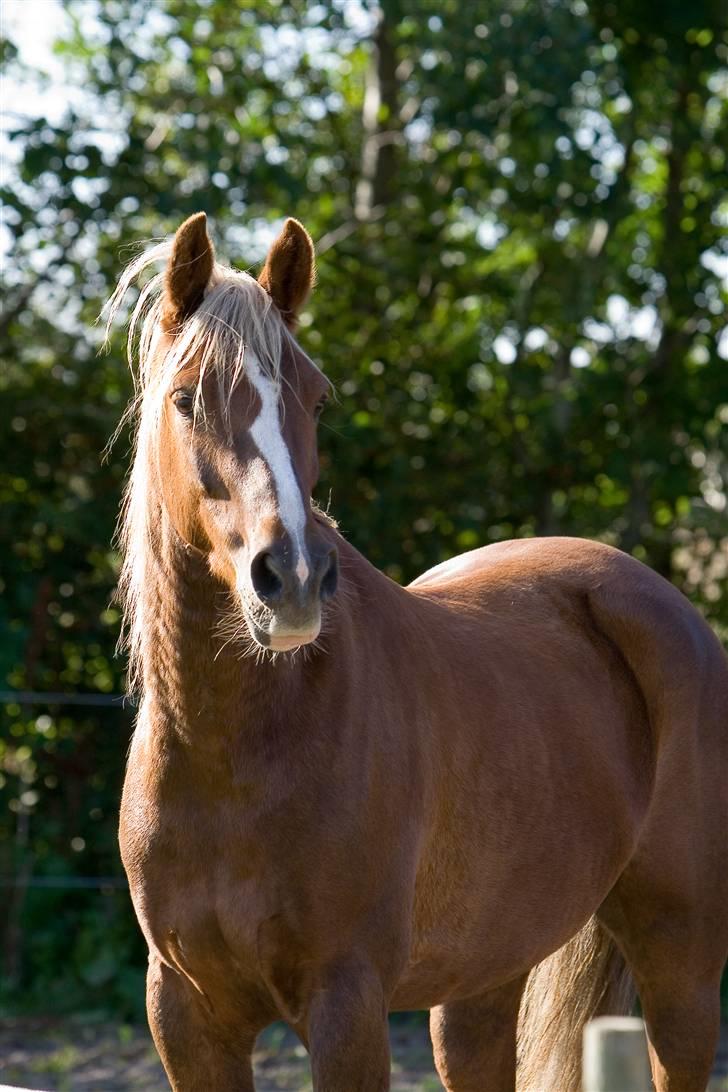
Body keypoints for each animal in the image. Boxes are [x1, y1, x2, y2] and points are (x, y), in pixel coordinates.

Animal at [109, 212, 728, 1092]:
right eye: (186, 397)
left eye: (316, 397)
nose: (294, 578)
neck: (229, 756)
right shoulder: (186, 1014)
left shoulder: (346, 1003)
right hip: (482, 984)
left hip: (682, 965)